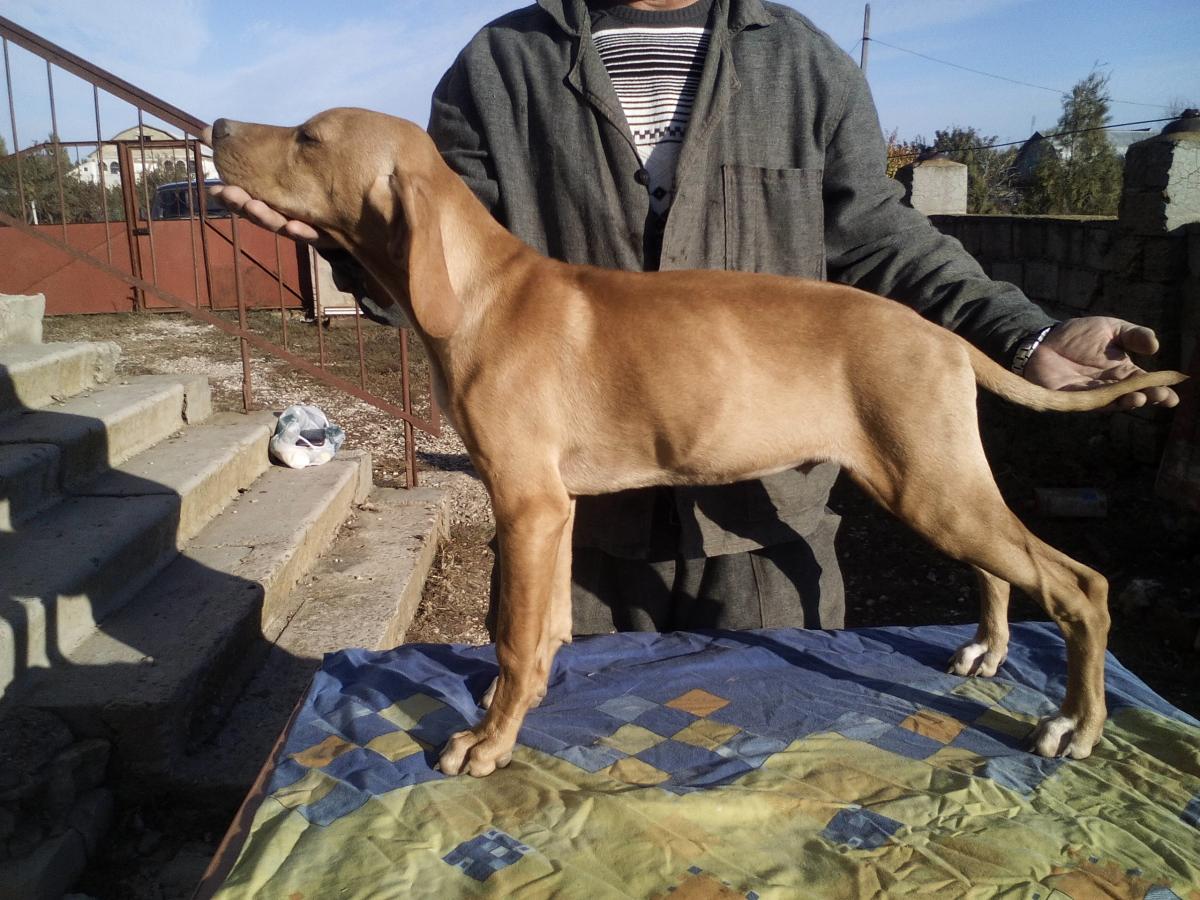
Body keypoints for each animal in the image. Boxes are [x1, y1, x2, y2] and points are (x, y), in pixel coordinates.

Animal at [207, 108, 1186, 777]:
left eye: (307, 138)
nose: (216, 126)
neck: (482, 289)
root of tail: (943, 337)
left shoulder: (527, 502)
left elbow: (516, 635)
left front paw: (486, 743)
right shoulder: (550, 509)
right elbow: (539, 627)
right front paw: (511, 707)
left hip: (931, 484)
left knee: (1080, 585)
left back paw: (1078, 724)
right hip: (932, 478)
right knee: (1003, 568)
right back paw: (987, 650)